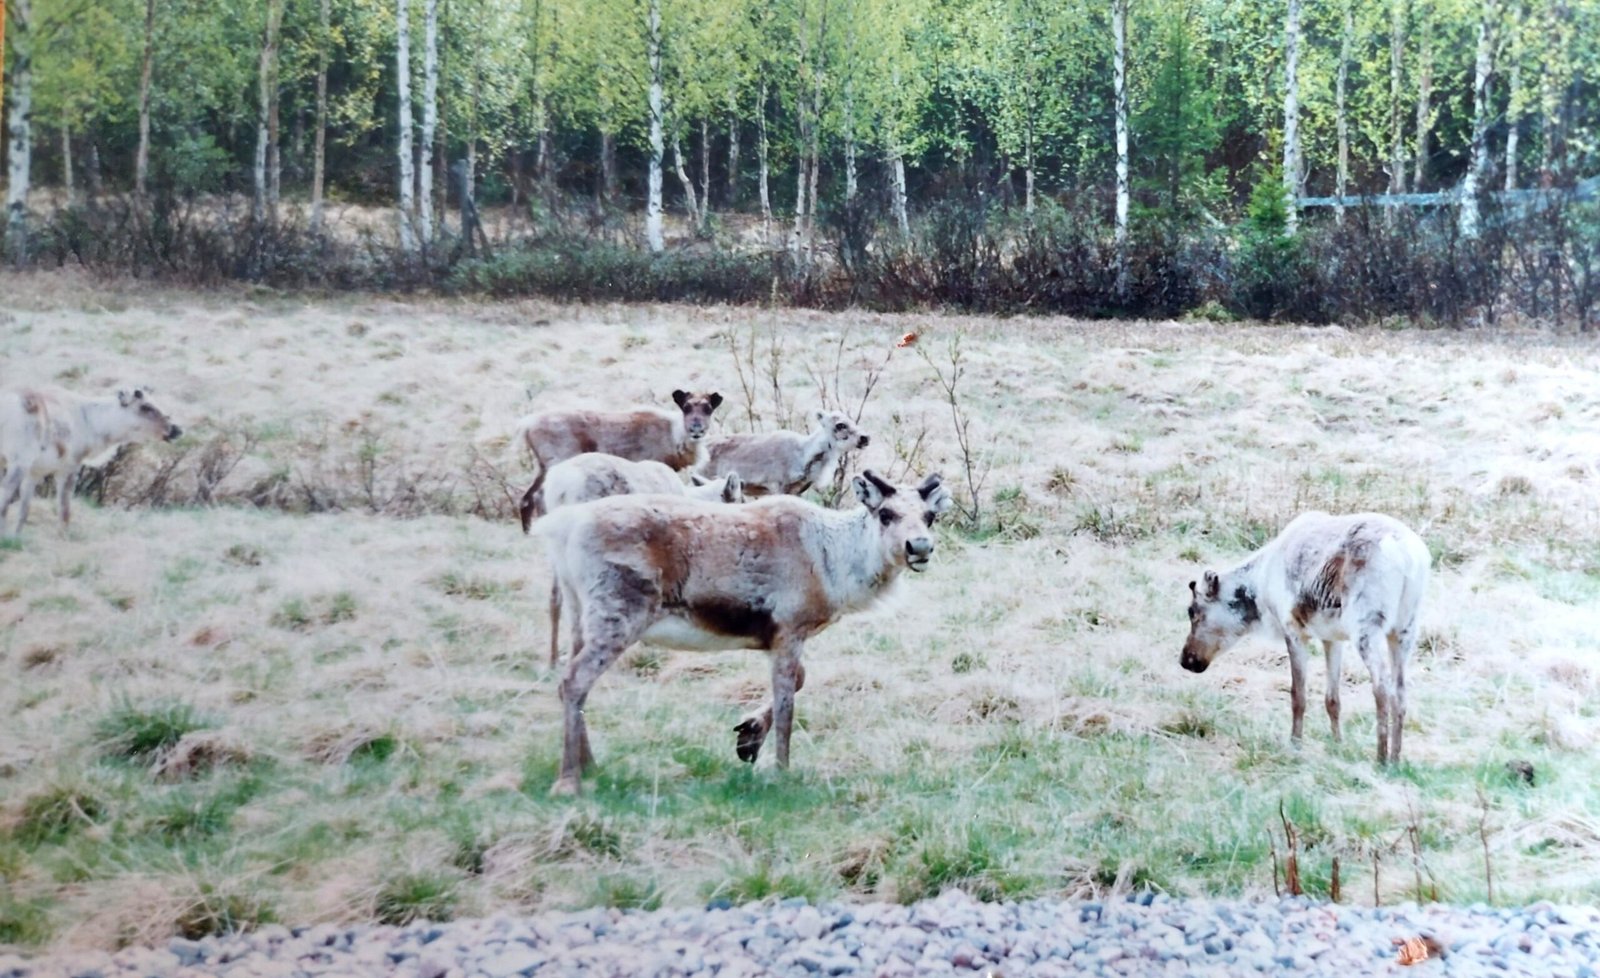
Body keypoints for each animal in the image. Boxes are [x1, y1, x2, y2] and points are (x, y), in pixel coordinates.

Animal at [0, 387, 183, 537]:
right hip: (18, 462)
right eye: (146, 407)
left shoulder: (35, 471)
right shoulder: (69, 467)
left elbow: (24, 511)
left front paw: (17, 537)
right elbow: (64, 509)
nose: (177, 429)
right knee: (5, 495)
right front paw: (64, 535)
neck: (95, 426)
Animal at [516, 390, 723, 532]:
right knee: (539, 496)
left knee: (527, 498)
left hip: (542, 466)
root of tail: (525, 427)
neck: (674, 436)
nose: (696, 429)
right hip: (556, 461)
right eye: (686, 407)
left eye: (708, 409)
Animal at [697, 410, 871, 498]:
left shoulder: (797, 491)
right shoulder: (778, 486)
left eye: (853, 420)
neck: (804, 457)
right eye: (840, 425)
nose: (865, 438)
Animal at [1180, 511, 1432, 766]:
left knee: (1381, 688)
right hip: (1404, 631)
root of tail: (1408, 554)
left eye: (1192, 611)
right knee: (1400, 693)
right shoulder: (1332, 638)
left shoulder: (1293, 630)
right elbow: (1332, 700)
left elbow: (1298, 696)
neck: (1261, 588)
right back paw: (1395, 759)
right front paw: (1337, 744)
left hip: (1367, 628)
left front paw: (1295, 744)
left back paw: (1381, 758)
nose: (1186, 660)